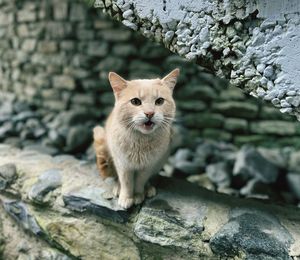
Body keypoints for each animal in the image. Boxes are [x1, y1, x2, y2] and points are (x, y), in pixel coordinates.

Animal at [92, 68, 179, 208]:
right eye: (135, 102)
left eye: (159, 101)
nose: (149, 113)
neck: (140, 141)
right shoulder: (123, 165)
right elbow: (126, 182)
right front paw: (126, 197)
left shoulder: (148, 166)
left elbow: (140, 181)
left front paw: (138, 195)